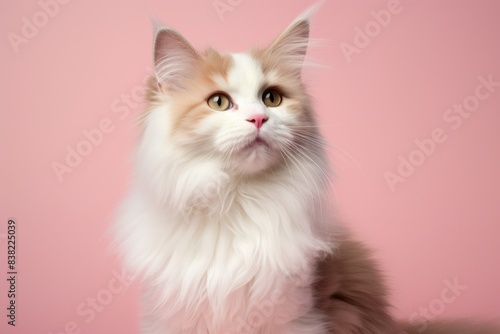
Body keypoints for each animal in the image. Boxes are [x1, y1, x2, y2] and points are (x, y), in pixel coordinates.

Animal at [111, 3, 498, 334]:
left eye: (271, 98)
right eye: (219, 102)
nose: (259, 118)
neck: (236, 200)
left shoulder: (296, 315)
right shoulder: (171, 315)